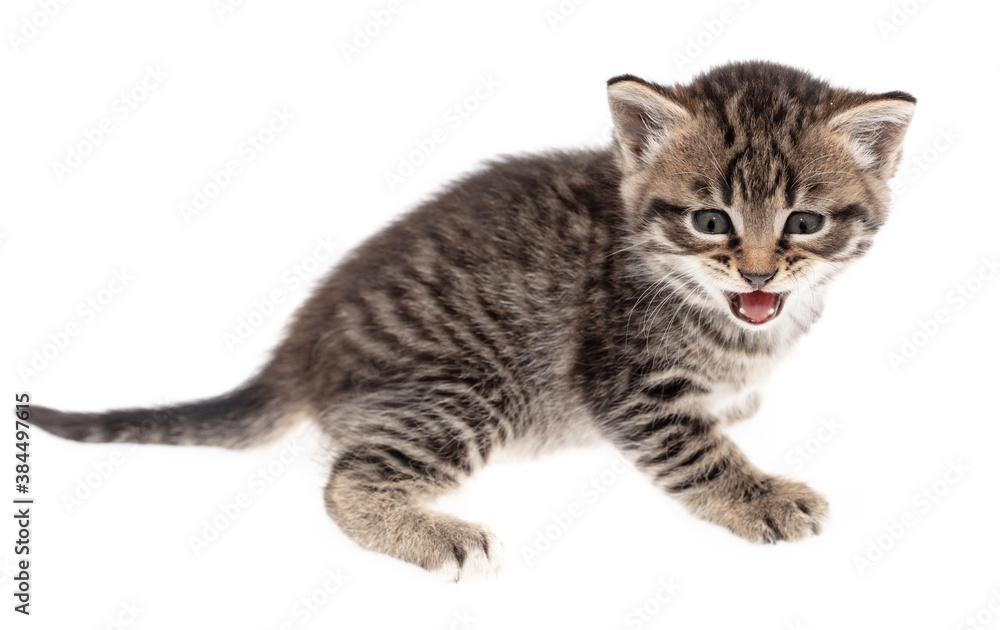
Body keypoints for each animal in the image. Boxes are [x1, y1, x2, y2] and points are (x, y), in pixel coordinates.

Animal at [33, 60, 916, 584]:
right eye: (709, 221)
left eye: (804, 223)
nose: (759, 273)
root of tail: (302, 347)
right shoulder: (625, 383)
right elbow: (698, 454)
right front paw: (759, 497)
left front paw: (740, 402)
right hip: (469, 392)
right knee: (347, 480)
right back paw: (436, 535)